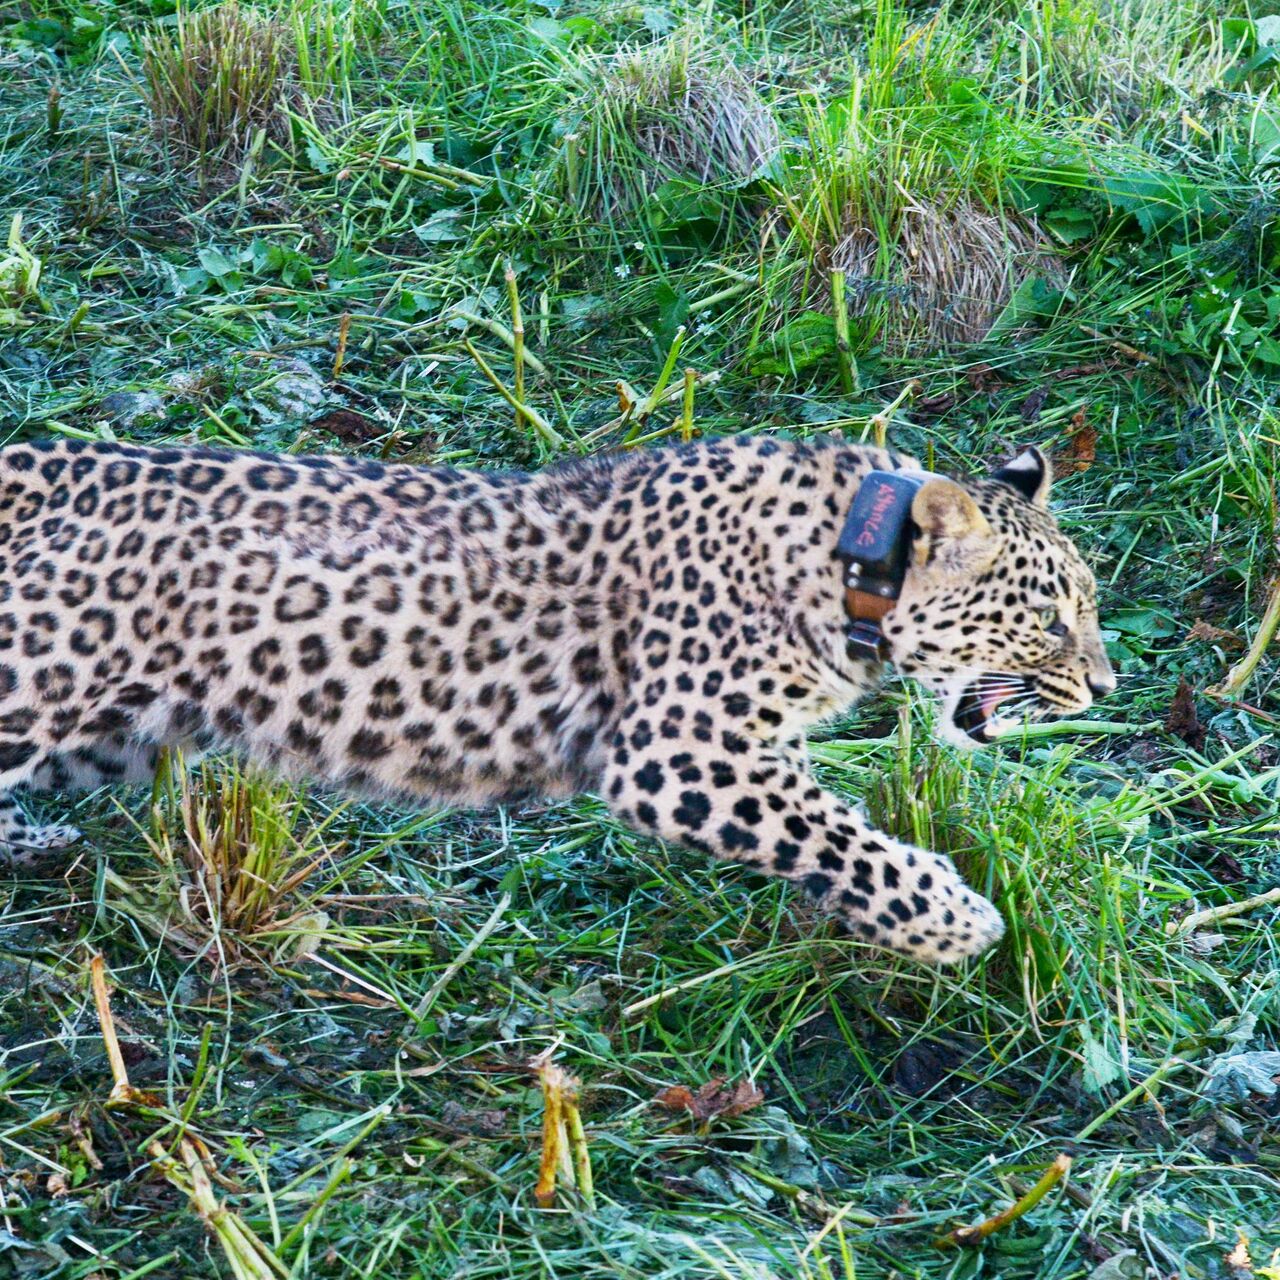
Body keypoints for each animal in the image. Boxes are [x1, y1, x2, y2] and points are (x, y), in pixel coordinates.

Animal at [0, 430, 1111, 962]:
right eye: (1049, 614)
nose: (1103, 684)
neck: (848, 558)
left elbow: (838, 830)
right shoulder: (679, 751)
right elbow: (845, 838)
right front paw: (958, 922)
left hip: (118, 725)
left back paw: (36, 842)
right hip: (36, 680)